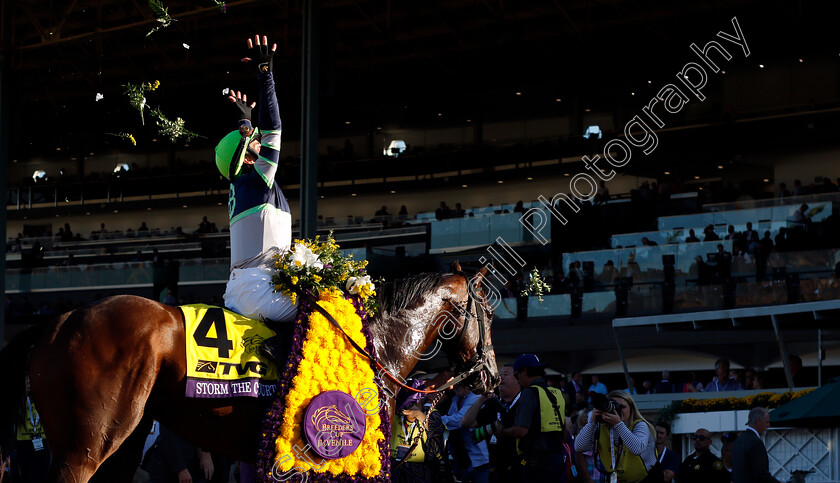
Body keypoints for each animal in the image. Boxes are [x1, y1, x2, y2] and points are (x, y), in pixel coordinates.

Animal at [0, 264, 498, 483]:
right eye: (490, 311)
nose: (490, 376)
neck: (375, 341)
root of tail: (59, 320)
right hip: (85, 445)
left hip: (121, 444)